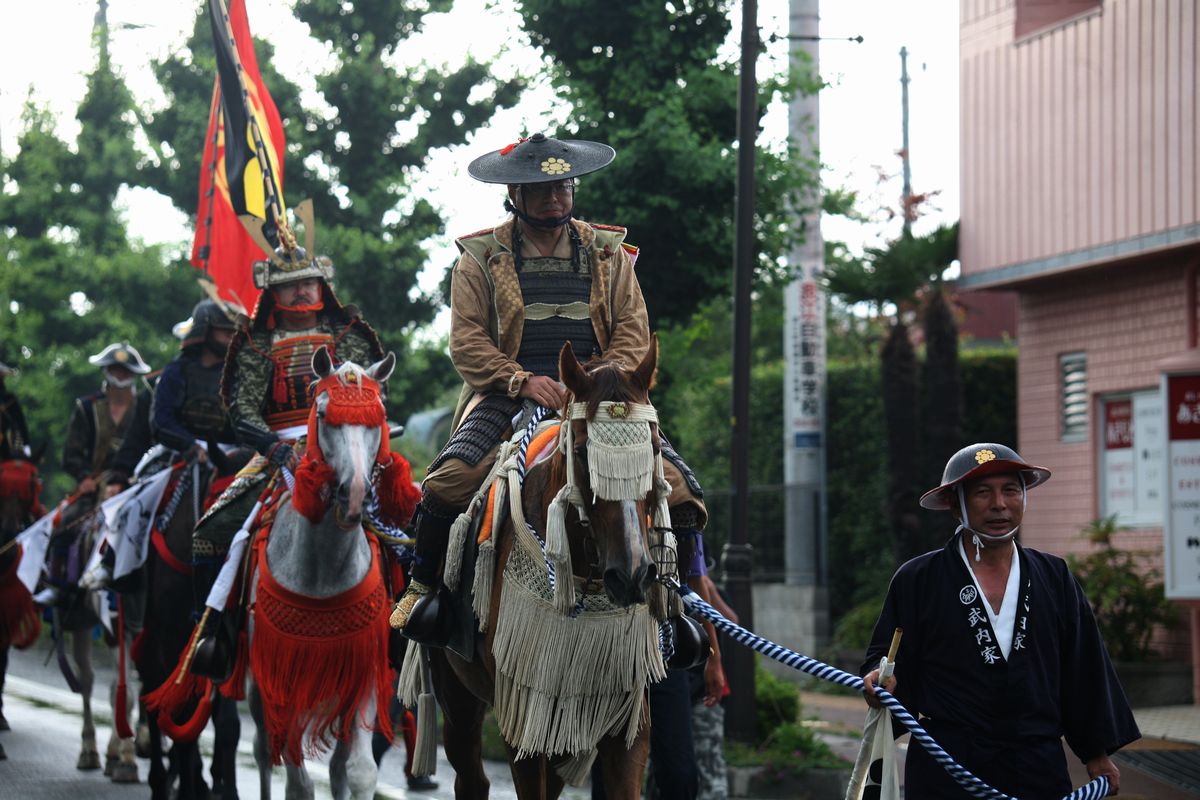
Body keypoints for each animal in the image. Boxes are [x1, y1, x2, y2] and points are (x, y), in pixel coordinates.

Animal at [246, 350, 400, 800]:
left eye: (379, 416)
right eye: (323, 413)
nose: (355, 496)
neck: (324, 569)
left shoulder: (363, 669)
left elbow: (360, 771)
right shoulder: (283, 676)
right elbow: (297, 778)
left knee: (335, 767)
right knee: (264, 751)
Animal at [429, 340, 676, 800]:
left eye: (653, 448)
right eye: (581, 450)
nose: (632, 574)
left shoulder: (626, 713)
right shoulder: (524, 707)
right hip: (455, 692)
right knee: (470, 775)